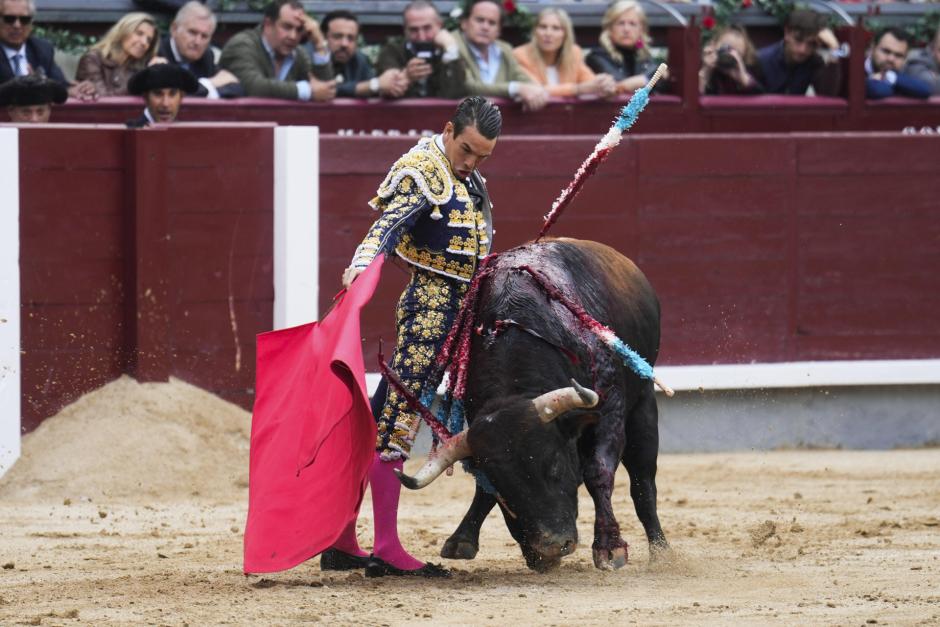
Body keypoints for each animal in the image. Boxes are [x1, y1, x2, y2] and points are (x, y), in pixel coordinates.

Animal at [396, 238, 668, 572]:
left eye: (555, 466)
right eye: (503, 487)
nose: (550, 549)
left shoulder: (609, 409)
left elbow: (598, 472)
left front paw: (609, 547)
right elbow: (483, 490)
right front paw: (463, 540)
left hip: (643, 405)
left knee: (643, 481)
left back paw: (661, 550)